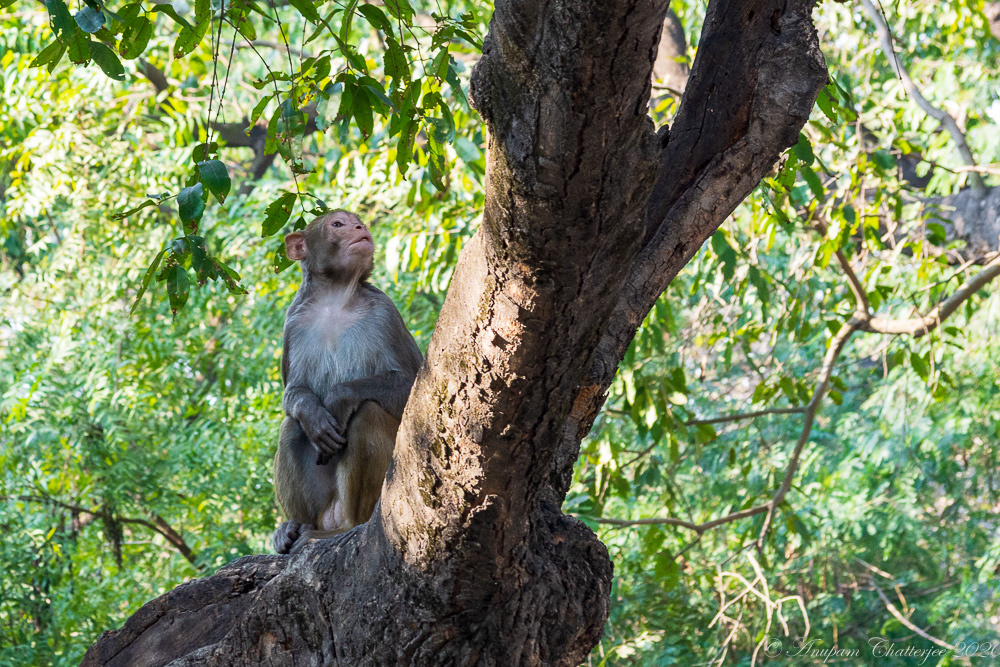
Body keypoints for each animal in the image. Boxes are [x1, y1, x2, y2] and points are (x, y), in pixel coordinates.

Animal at [272, 209, 422, 554]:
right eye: (337, 224)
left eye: (356, 221)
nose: (359, 227)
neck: (335, 298)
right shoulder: (293, 323)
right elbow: (293, 393)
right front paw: (312, 413)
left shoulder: (385, 313)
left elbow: (409, 384)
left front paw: (338, 399)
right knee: (291, 427)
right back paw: (295, 528)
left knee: (367, 413)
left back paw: (347, 528)